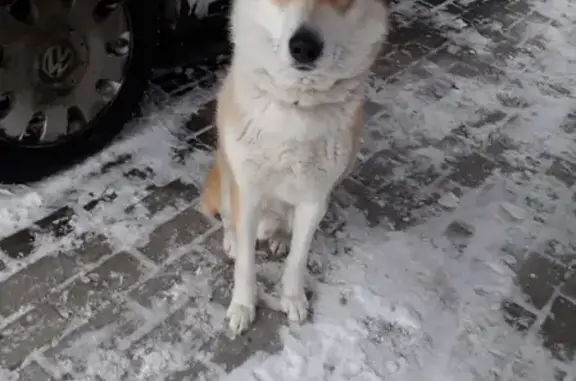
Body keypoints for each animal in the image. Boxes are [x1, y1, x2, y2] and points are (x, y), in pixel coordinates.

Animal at [200, 0, 390, 334]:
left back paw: (279, 239)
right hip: (224, 179)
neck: (297, 107)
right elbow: (246, 263)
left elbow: (298, 258)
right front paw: (243, 306)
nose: (304, 47)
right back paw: (232, 239)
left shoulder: (315, 199)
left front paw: (293, 299)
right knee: (227, 219)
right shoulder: (247, 193)